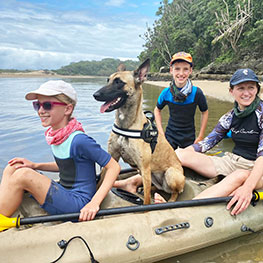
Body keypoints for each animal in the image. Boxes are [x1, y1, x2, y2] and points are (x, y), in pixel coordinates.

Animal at [93, 59, 186, 206]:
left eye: (118, 82)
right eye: (108, 80)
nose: (95, 95)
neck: (127, 125)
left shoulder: (144, 166)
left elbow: (147, 201)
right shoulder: (112, 158)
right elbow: (99, 184)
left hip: (170, 174)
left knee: (174, 192)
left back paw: (169, 200)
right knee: (157, 187)